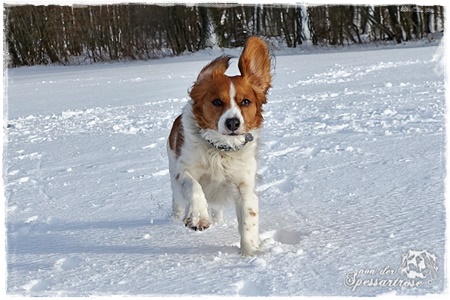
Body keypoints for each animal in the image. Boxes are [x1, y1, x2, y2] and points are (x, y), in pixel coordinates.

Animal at [165, 35, 270, 255]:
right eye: (216, 102)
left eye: (246, 101)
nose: (233, 123)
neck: (220, 150)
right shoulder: (183, 171)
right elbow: (194, 186)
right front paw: (198, 218)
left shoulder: (244, 186)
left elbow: (249, 218)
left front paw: (250, 254)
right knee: (178, 200)